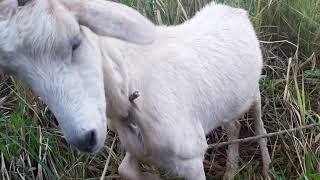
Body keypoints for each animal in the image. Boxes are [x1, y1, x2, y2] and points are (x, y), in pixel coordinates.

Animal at [0, 0, 270, 179]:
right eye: (15, 71)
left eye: (75, 42)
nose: (85, 138)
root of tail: (231, 9)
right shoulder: (135, 144)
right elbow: (125, 169)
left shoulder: (190, 155)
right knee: (233, 125)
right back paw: (231, 169)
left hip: (254, 90)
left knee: (259, 124)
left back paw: (267, 166)